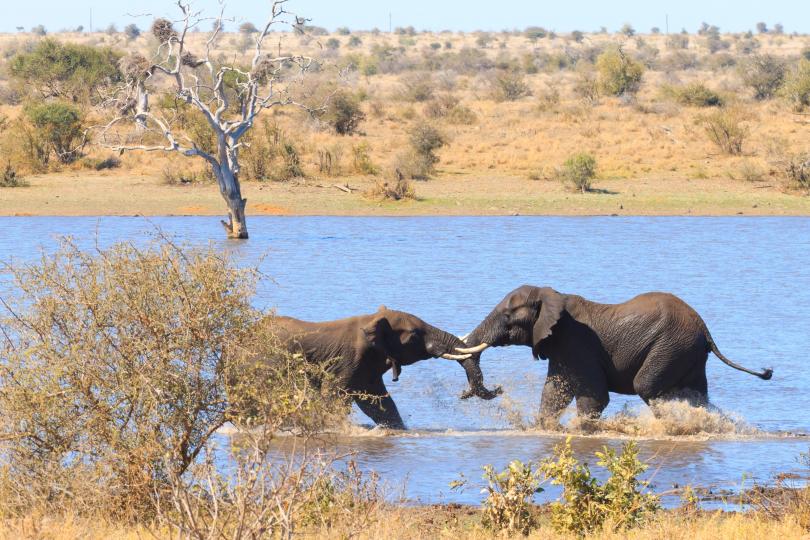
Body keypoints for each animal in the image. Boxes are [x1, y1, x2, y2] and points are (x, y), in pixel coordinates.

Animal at [268, 306, 502, 428]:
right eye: (414, 334)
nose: (500, 389)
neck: (372, 320)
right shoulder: (348, 361)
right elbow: (332, 396)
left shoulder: (367, 367)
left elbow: (381, 404)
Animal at [454, 284, 772, 428]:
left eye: (508, 316)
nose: (498, 389)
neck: (552, 296)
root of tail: (705, 329)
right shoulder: (560, 346)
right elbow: (554, 391)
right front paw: (544, 428)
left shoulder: (577, 343)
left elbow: (593, 396)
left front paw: (582, 430)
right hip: (689, 353)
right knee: (697, 394)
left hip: (671, 346)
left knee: (648, 386)